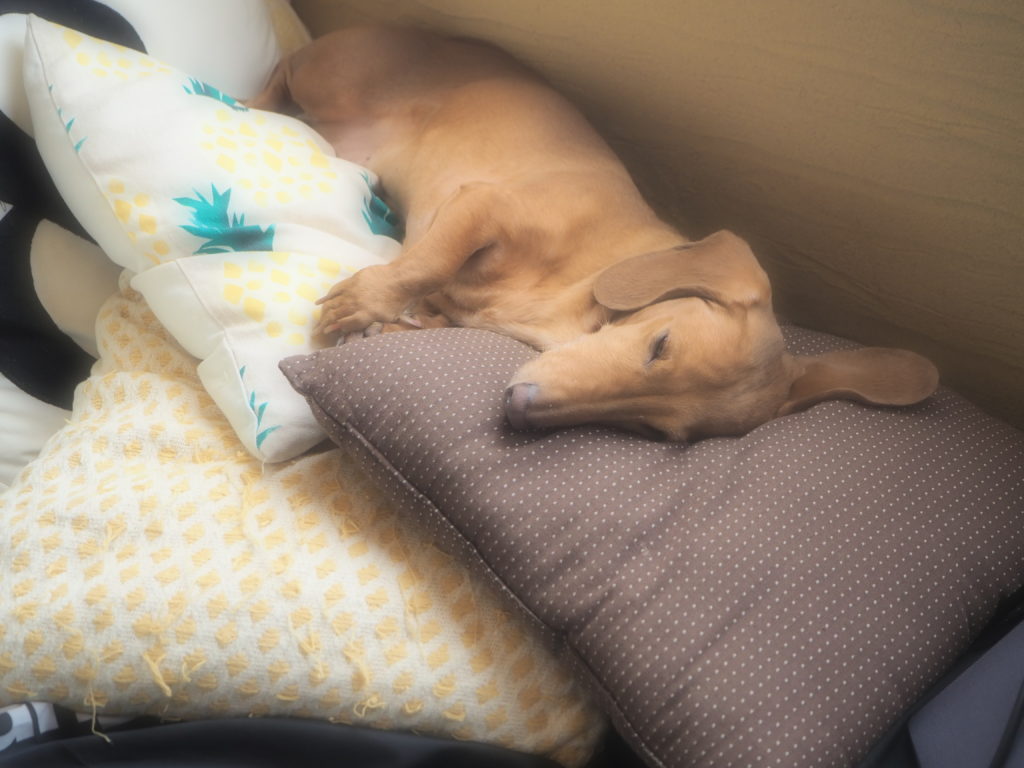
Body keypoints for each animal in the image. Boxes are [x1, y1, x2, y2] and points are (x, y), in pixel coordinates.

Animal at [251, 24, 938, 441]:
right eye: (660, 344)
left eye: (656, 429)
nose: (518, 410)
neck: (577, 294)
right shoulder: (484, 207)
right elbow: (425, 264)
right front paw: (364, 302)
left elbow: (427, 311)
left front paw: (387, 324)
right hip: (327, 78)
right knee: (281, 69)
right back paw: (252, 102)